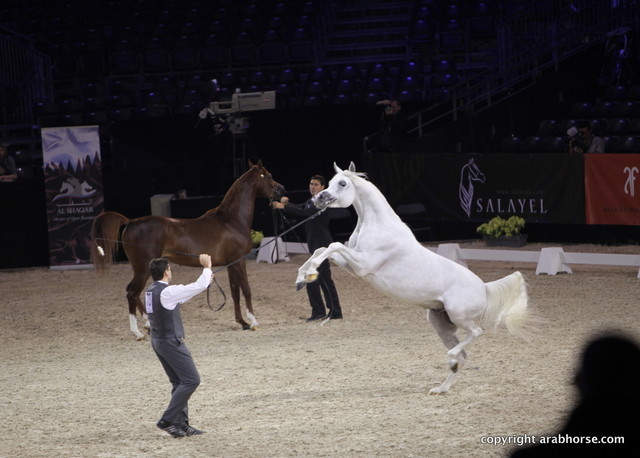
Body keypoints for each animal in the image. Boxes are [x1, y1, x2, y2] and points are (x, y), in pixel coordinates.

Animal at [91, 161, 285, 340]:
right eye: (268, 176)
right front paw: (253, 322)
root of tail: (130, 221)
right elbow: (246, 289)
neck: (231, 220)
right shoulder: (239, 260)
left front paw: (242, 322)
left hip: (140, 268)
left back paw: (147, 324)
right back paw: (138, 333)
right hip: (143, 268)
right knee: (132, 293)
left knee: (131, 291)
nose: (282, 189)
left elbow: (234, 291)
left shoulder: (231, 263)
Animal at [296, 162, 533, 394]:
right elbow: (323, 249)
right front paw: (304, 277)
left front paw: (309, 273)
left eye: (343, 183)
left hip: (460, 317)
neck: (377, 226)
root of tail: (484, 287)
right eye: (330, 181)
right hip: (441, 323)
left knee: (476, 333)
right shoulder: (353, 266)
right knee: (464, 356)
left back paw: (450, 362)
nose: (318, 199)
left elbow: (332, 245)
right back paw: (441, 388)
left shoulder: (363, 266)